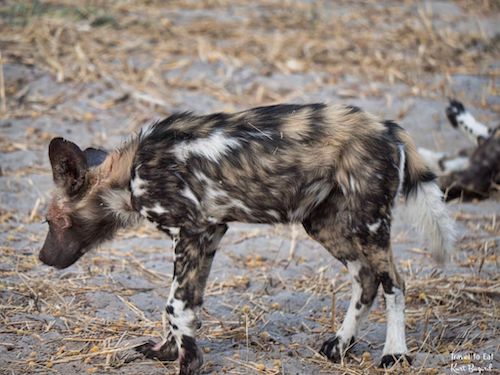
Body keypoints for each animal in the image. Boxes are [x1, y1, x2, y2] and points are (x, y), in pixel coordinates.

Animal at [38, 103, 454, 375]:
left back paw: (394, 354)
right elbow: (184, 305)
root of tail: (387, 127)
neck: (129, 174)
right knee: (365, 278)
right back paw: (340, 345)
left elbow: (175, 305)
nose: (43, 258)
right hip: (325, 225)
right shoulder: (207, 236)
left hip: (369, 225)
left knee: (394, 282)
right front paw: (170, 351)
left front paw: (187, 363)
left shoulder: (194, 232)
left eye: (52, 220)